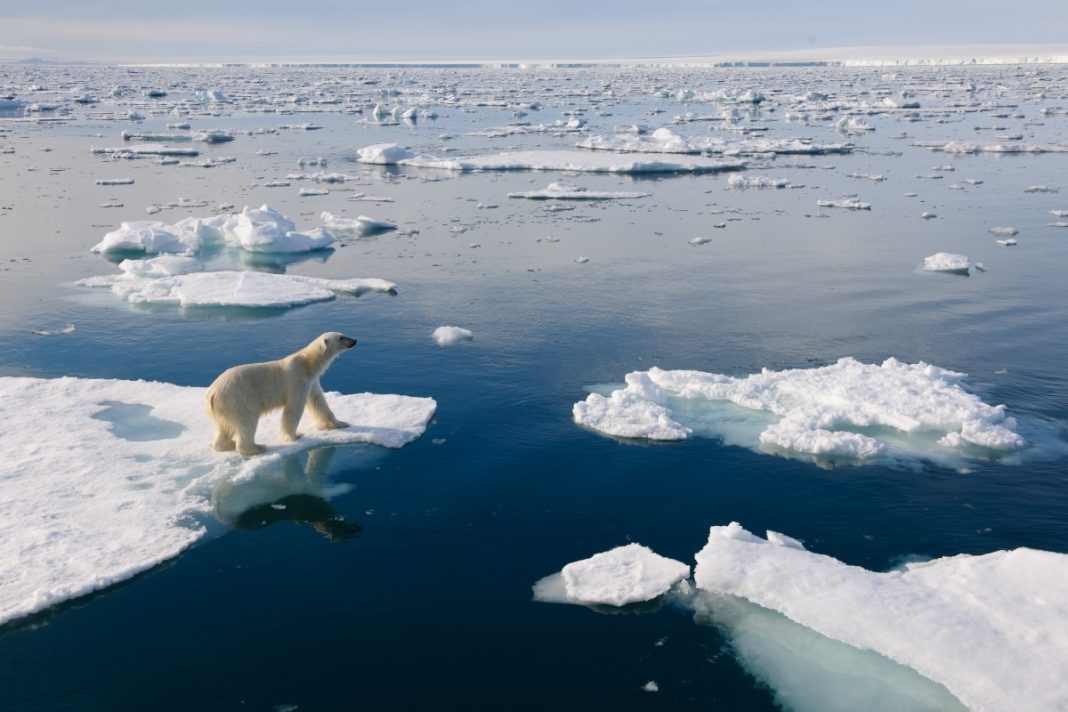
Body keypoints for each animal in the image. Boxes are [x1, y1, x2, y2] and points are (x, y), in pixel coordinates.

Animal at [206, 330, 356, 454]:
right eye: (341, 337)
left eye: (343, 333)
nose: (354, 340)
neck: (308, 363)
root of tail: (212, 393)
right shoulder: (297, 378)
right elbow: (294, 408)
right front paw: (295, 436)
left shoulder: (311, 381)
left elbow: (318, 402)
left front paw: (341, 423)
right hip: (238, 398)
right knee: (247, 421)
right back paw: (256, 447)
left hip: (223, 407)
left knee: (224, 427)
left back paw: (227, 444)